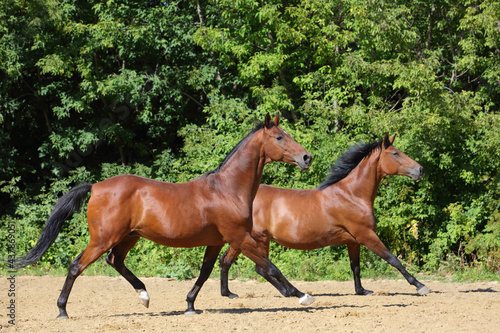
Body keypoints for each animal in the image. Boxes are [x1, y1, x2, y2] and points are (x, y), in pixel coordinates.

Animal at [14, 113, 312, 318]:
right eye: (279, 137)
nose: (307, 158)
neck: (227, 189)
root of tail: (96, 186)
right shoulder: (238, 237)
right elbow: (269, 266)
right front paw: (300, 295)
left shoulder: (217, 241)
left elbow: (205, 272)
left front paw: (190, 305)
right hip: (103, 238)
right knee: (77, 266)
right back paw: (62, 310)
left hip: (129, 237)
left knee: (115, 261)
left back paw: (144, 295)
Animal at [221, 134, 432, 298]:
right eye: (395, 153)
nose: (420, 169)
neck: (351, 195)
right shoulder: (366, 235)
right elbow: (393, 259)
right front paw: (421, 286)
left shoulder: (353, 241)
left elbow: (355, 266)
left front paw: (361, 291)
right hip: (259, 239)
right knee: (260, 267)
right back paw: (290, 292)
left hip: (242, 240)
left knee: (227, 260)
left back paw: (229, 293)